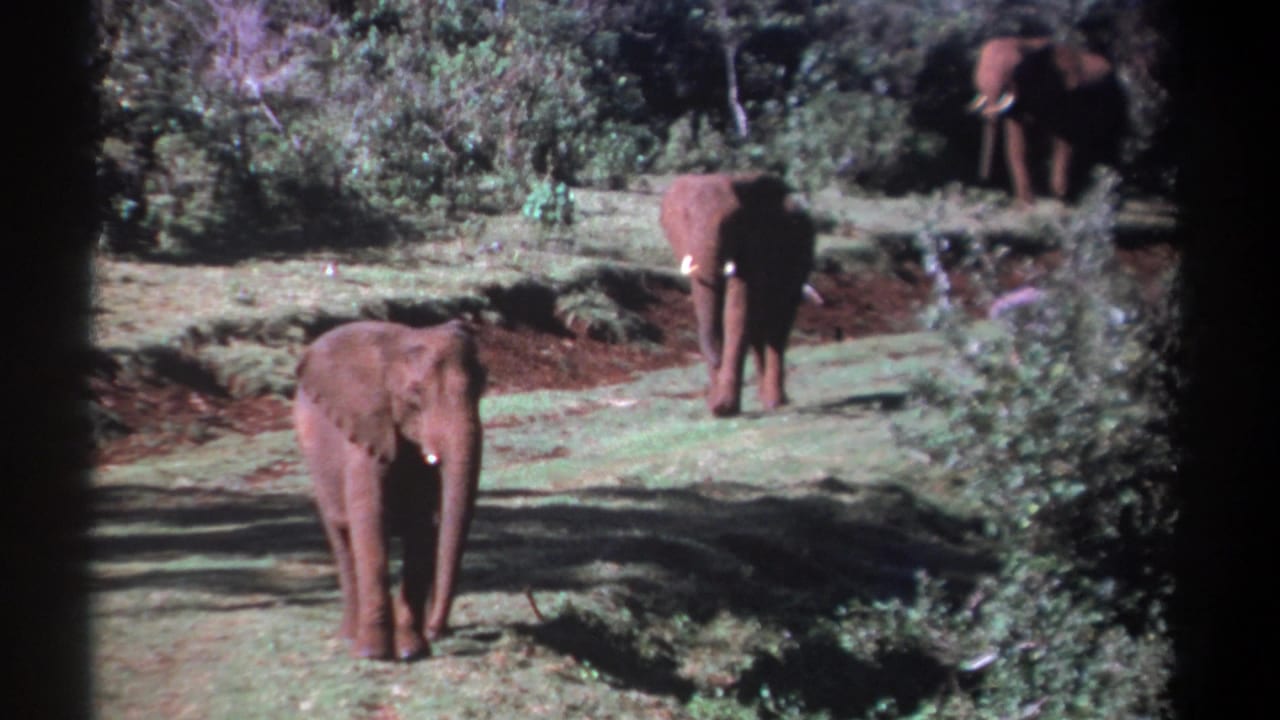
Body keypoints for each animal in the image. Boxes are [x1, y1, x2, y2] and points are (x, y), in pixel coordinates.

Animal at [293, 319, 486, 661]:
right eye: (415, 393)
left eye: (483, 385)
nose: (437, 631)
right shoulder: (365, 431)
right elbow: (370, 522)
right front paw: (374, 654)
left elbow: (422, 527)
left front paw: (411, 651)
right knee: (342, 540)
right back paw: (349, 637)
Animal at [660, 172, 816, 417]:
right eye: (684, 219)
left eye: (730, 222)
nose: (717, 361)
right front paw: (718, 407)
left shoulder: (753, 246)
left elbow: (736, 311)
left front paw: (723, 408)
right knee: (760, 329)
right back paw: (765, 398)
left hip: (800, 260)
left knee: (778, 325)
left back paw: (775, 402)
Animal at [969, 36, 1126, 206]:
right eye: (979, 63)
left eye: (1015, 69)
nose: (983, 179)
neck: (1025, 44)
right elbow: (1017, 148)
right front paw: (1026, 205)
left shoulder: (1065, 97)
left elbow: (1064, 144)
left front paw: (1060, 200)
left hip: (1117, 103)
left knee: (1110, 146)